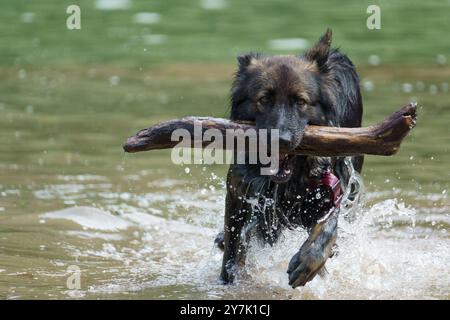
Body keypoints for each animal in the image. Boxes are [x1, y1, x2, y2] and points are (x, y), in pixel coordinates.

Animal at [215, 28, 366, 288]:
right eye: (264, 99)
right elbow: (233, 251)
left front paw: (309, 261)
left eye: (301, 102)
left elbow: (327, 230)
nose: (281, 140)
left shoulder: (332, 189)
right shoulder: (239, 195)